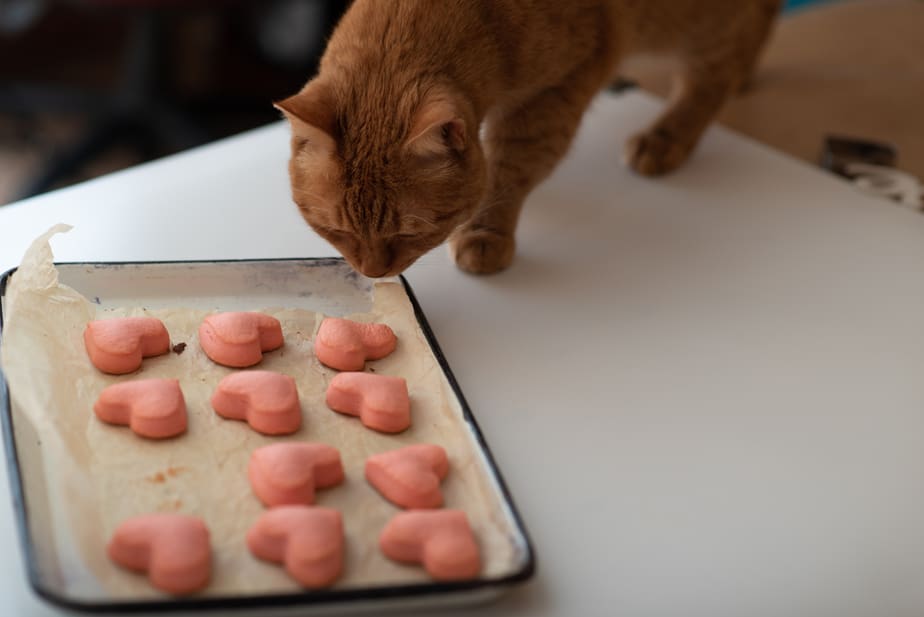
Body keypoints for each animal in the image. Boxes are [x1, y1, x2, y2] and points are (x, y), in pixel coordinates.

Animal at [274, 0, 780, 276]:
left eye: (410, 232)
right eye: (335, 230)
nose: (373, 272)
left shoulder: (553, 94)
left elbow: (510, 169)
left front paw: (486, 230)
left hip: (688, 22)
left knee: (724, 62)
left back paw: (667, 136)